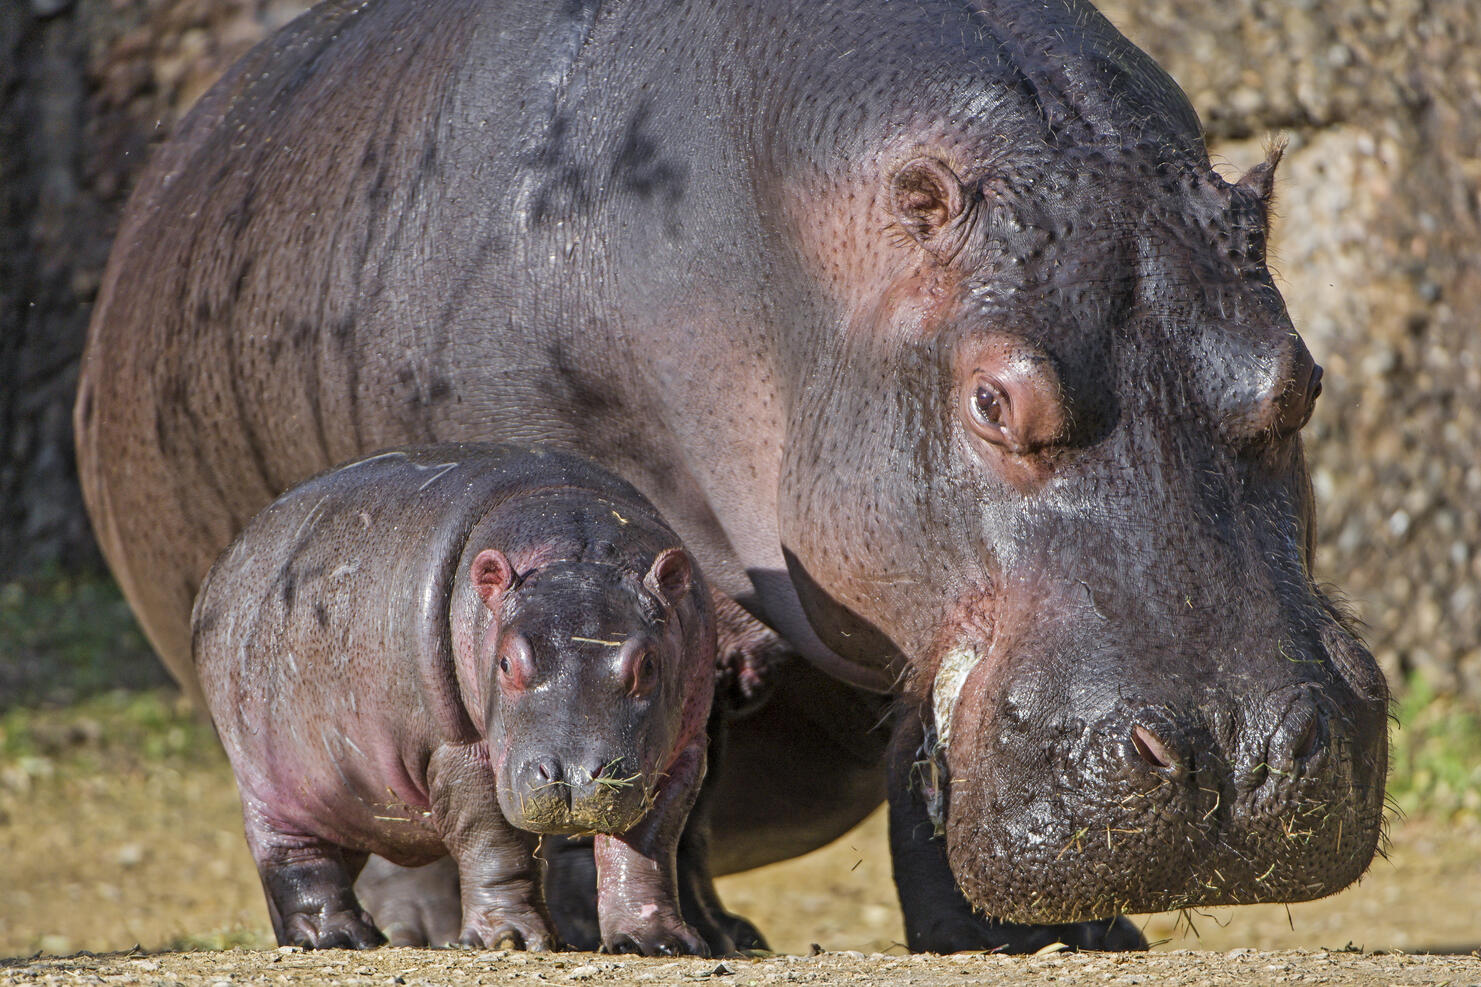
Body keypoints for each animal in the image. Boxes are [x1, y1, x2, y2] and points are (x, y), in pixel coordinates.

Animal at [194, 441, 713, 948]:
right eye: (505, 663)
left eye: (648, 665)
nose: (573, 776)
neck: (572, 543)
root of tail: (222, 564)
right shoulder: (455, 748)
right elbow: (492, 843)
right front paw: (508, 939)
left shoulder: (684, 753)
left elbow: (648, 846)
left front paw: (656, 942)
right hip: (265, 778)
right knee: (291, 857)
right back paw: (339, 937)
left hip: (339, 790)